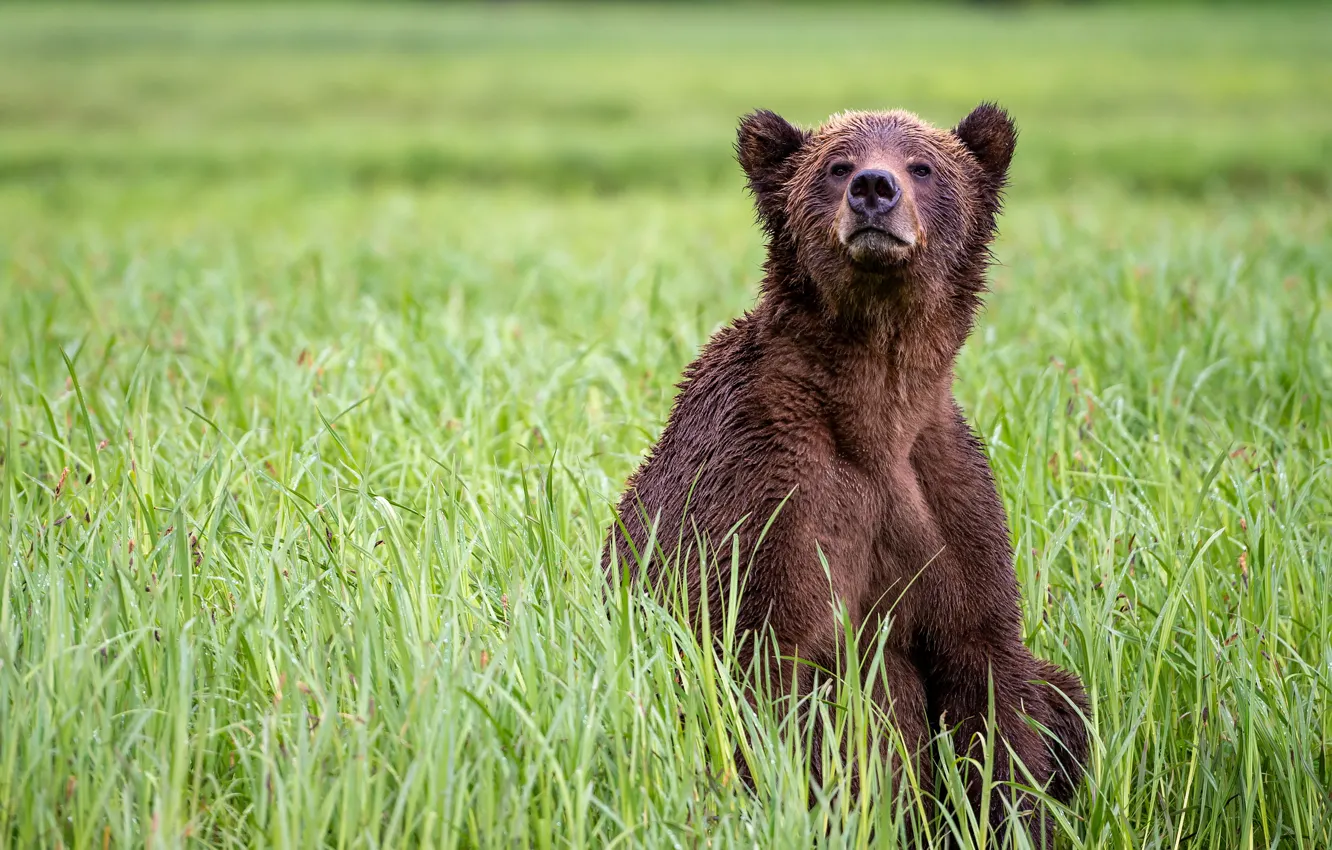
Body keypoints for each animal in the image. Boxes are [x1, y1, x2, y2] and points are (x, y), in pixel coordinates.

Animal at [604, 103, 1092, 842]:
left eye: (923, 165)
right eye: (837, 165)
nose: (874, 188)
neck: (874, 411)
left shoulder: (946, 492)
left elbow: (989, 685)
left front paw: (1011, 820)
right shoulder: (769, 488)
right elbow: (767, 670)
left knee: (1066, 697)